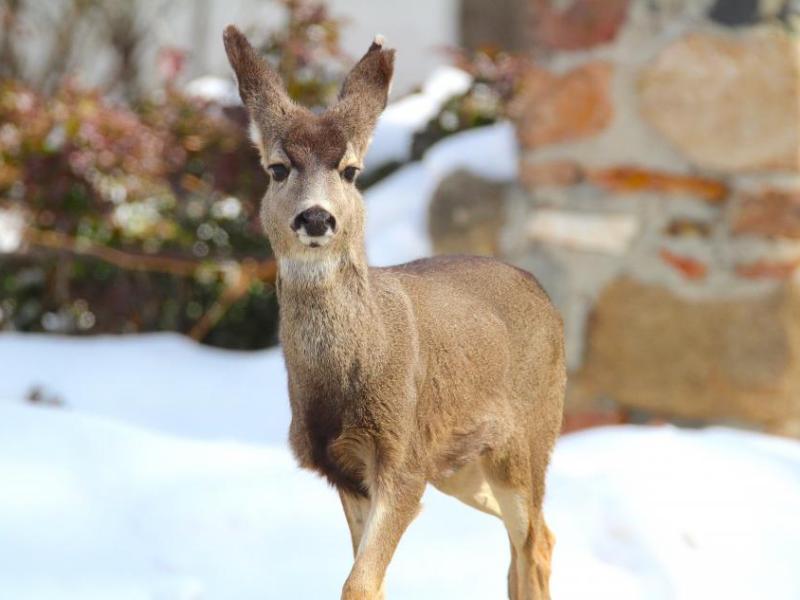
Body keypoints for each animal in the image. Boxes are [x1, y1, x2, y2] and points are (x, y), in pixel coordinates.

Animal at [223, 25, 565, 600]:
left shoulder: (401, 457)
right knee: (533, 538)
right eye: (277, 167)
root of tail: (542, 293)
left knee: (535, 538)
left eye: (351, 170)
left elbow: (359, 583)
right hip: (461, 466)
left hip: (528, 437)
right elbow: (369, 579)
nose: (316, 217)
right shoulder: (345, 471)